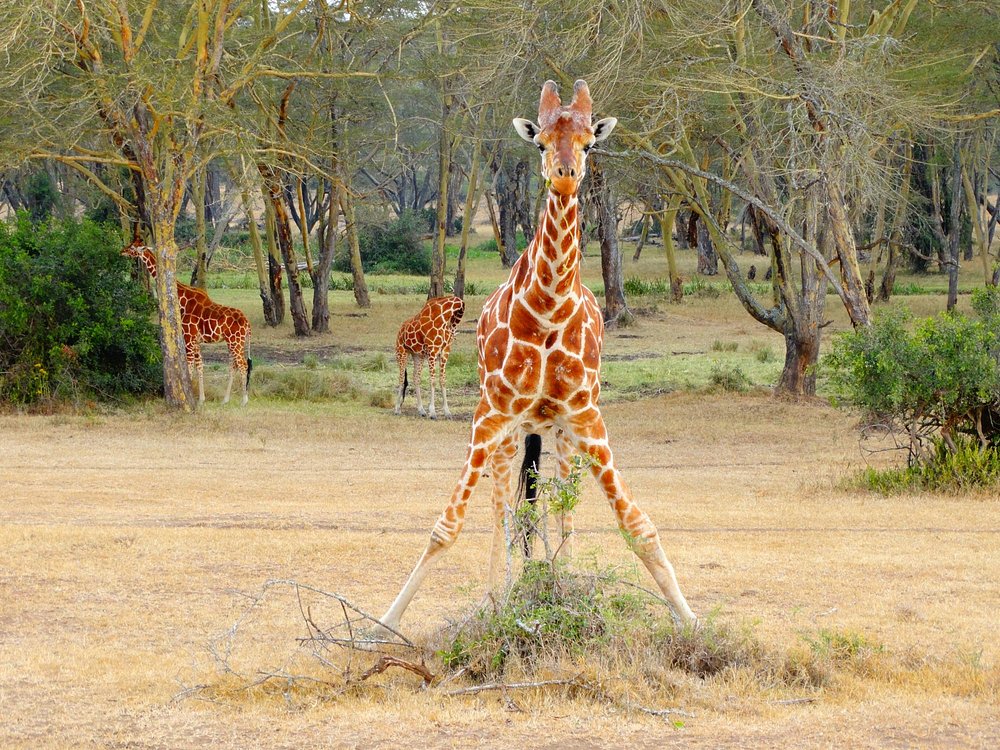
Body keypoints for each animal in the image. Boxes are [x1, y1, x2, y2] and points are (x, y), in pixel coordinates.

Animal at [122, 242, 253, 406]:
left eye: (132, 247)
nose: (122, 251)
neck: (182, 300)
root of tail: (247, 323)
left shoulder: (189, 338)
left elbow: (190, 367)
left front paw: (191, 398)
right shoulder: (195, 340)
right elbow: (200, 365)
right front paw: (201, 399)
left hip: (235, 341)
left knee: (243, 365)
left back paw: (244, 401)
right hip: (234, 342)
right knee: (233, 365)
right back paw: (225, 399)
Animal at [377, 80, 696, 633]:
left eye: (588, 144)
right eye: (541, 143)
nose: (565, 176)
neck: (547, 312)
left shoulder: (586, 415)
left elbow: (636, 525)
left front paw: (695, 621)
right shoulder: (490, 415)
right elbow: (448, 526)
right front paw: (384, 623)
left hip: (560, 434)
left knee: (559, 503)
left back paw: (556, 583)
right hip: (510, 434)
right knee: (503, 508)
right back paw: (498, 598)